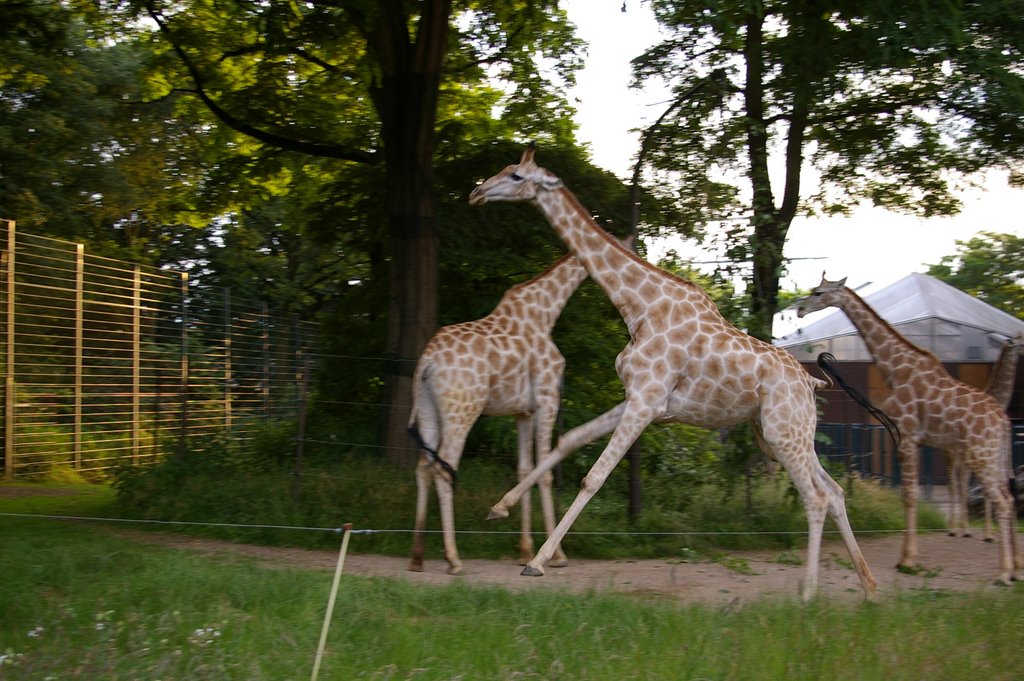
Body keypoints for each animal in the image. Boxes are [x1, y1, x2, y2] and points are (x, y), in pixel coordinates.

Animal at [407, 244, 614, 573]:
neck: (545, 312)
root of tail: (427, 360)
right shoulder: (547, 400)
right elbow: (545, 473)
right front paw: (556, 556)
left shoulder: (522, 413)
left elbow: (524, 469)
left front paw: (524, 550)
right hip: (463, 411)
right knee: (443, 466)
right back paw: (453, 558)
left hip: (428, 409)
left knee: (423, 466)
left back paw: (417, 557)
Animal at [468, 144, 876, 602]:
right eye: (505, 169)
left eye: (516, 176)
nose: (477, 193)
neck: (638, 307)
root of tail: (810, 379)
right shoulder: (639, 398)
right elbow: (568, 440)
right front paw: (499, 508)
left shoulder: (646, 402)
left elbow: (594, 477)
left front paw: (538, 561)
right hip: (784, 436)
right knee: (835, 492)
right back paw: (869, 587)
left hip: (783, 433)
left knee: (816, 498)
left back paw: (808, 594)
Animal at [946, 331, 1019, 540]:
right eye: (1021, 341)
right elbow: (981, 490)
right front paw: (987, 533)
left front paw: (988, 532)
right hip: (953, 456)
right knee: (953, 484)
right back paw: (954, 529)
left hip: (960, 457)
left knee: (958, 484)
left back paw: (959, 528)